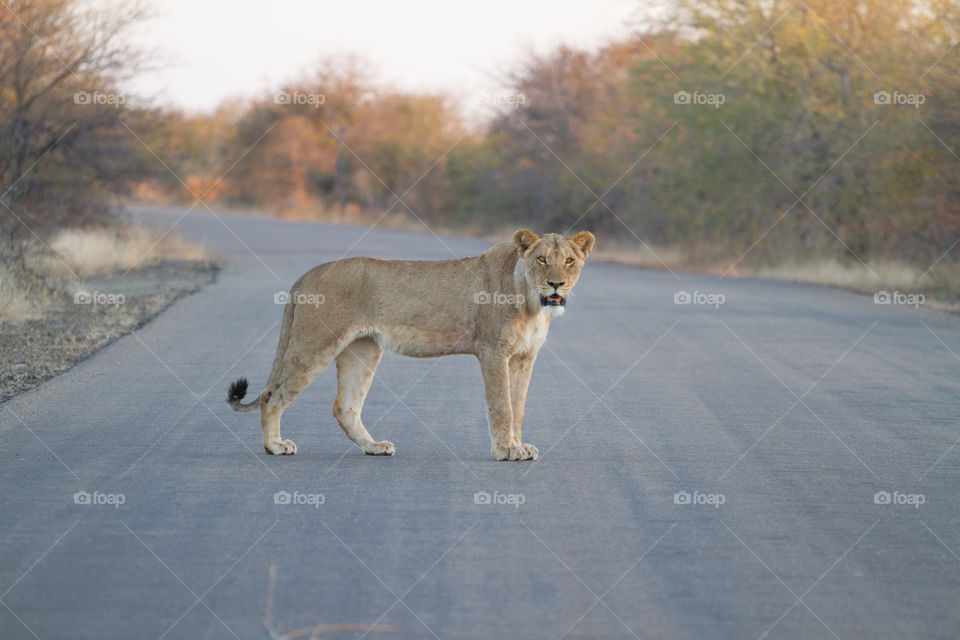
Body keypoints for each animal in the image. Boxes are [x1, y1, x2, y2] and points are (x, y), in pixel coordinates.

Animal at [227, 228, 595, 461]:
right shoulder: (493, 351)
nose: (556, 284)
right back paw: (275, 447)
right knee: (272, 396)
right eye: (542, 260)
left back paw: (374, 447)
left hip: (363, 349)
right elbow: (501, 406)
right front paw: (505, 450)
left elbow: (518, 406)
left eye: (570, 261)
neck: (531, 302)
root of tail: (306, 275)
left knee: (345, 406)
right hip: (315, 342)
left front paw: (519, 446)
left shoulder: (524, 357)